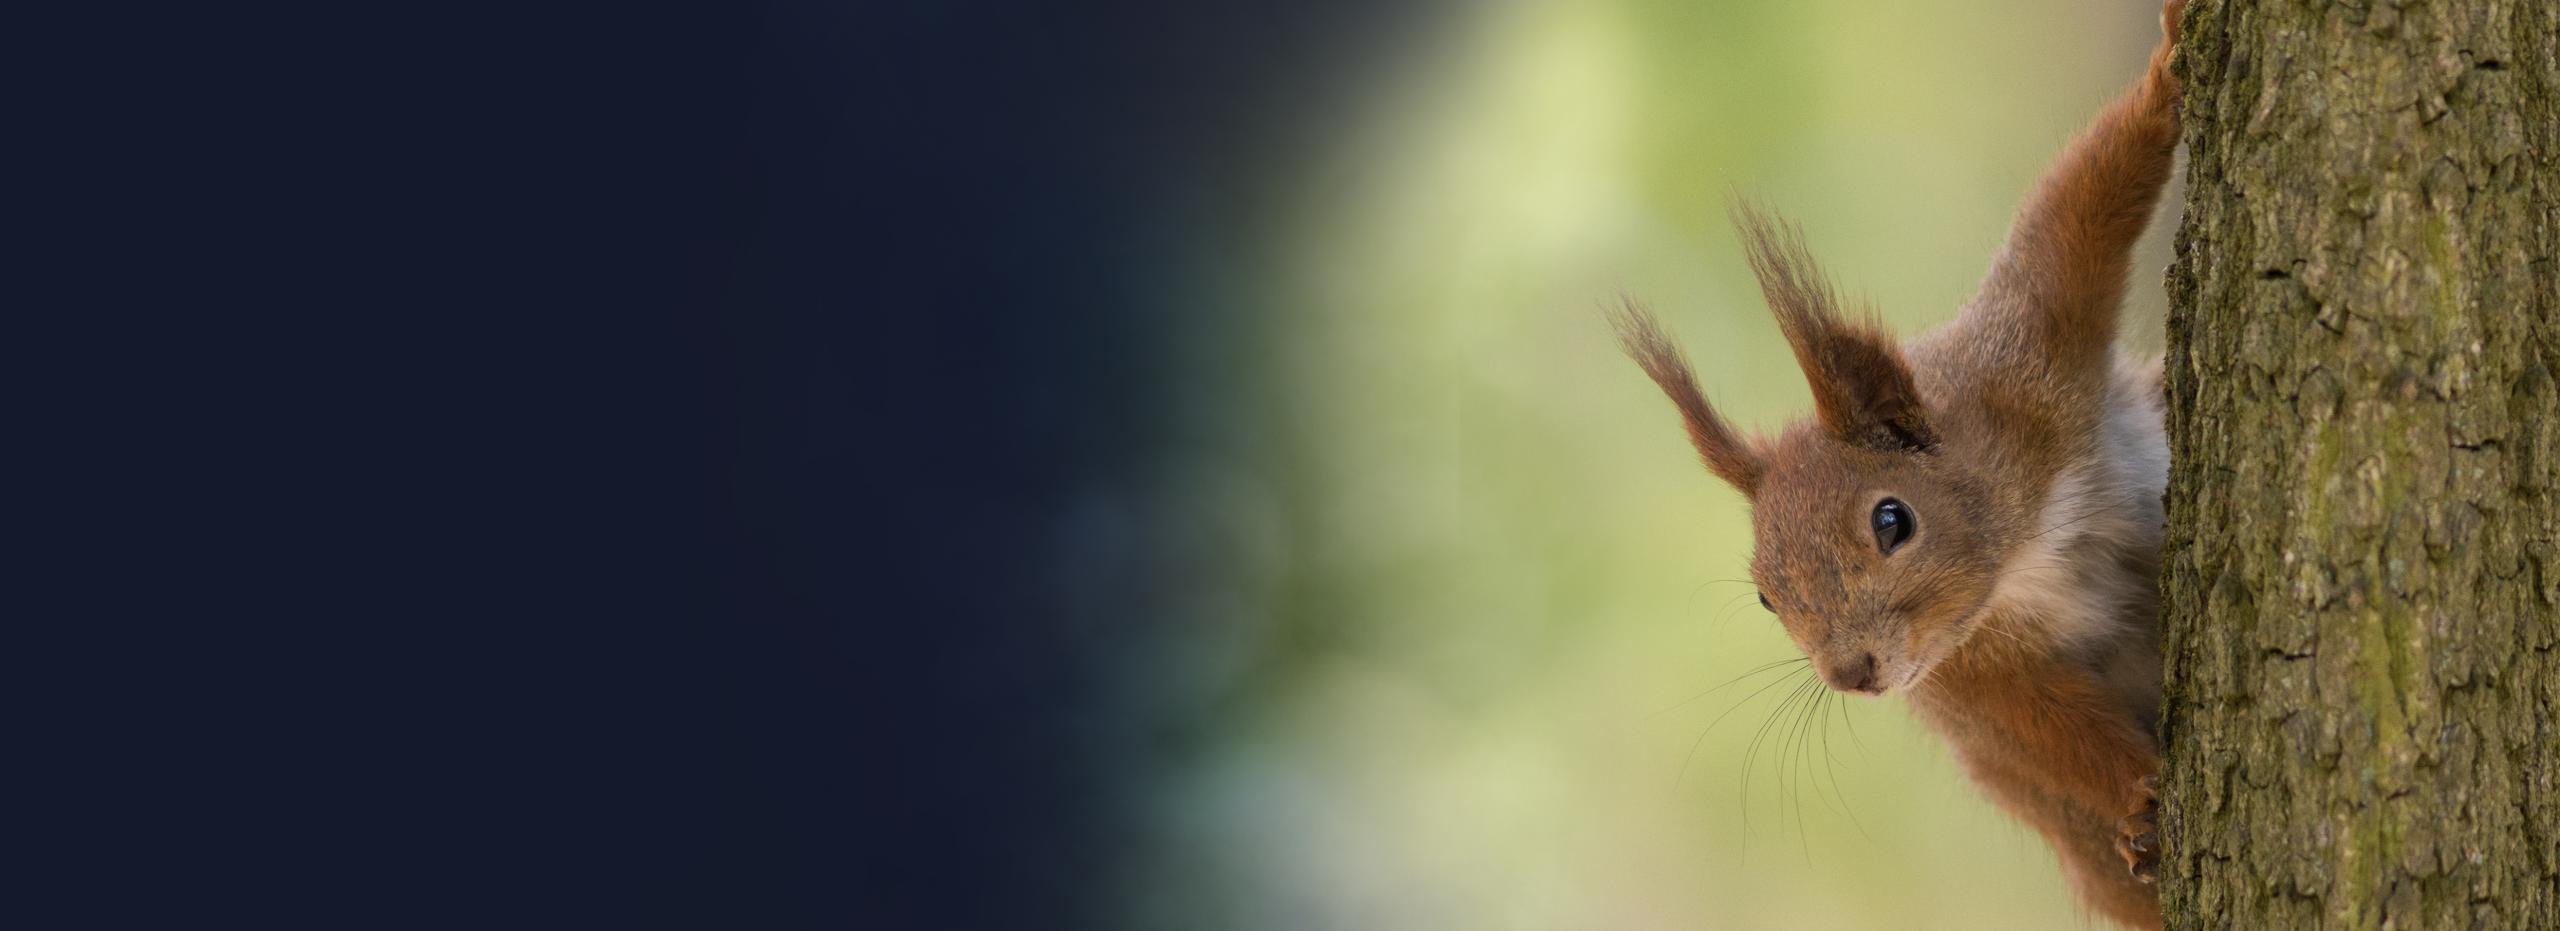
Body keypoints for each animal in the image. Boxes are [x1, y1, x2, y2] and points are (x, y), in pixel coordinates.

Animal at [1612, 3, 2186, 929]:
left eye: (1893, 520)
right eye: (1766, 595)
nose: (1851, 676)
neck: (2019, 554)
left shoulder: (2025, 362)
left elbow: (2077, 211)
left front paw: (2166, 71)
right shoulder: (1974, 679)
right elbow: (2048, 734)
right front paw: (2142, 791)